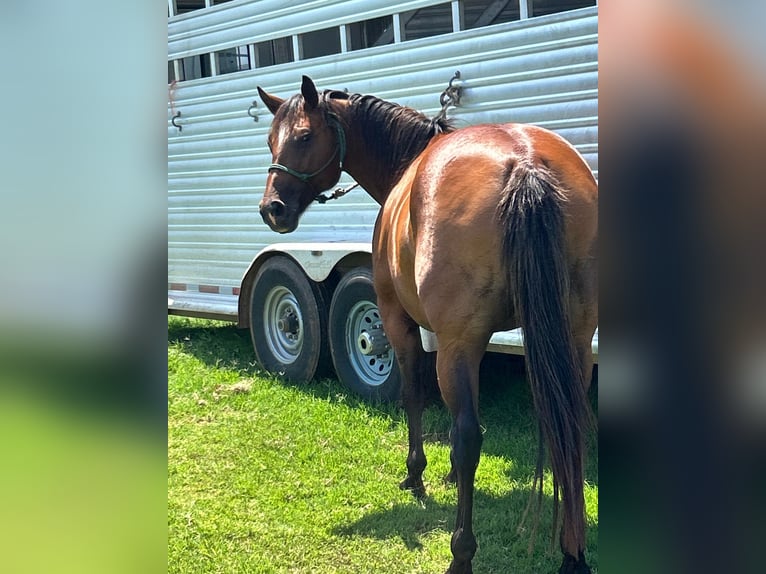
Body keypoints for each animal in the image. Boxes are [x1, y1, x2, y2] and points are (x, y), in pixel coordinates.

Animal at [256, 76, 597, 574]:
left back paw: (461, 554)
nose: (272, 209)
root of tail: (525, 162)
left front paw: (415, 474)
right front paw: (451, 476)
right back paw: (574, 555)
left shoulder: (400, 321)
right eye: (270, 140)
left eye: (302, 136)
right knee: (569, 430)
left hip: (461, 342)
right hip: (573, 341)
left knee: (468, 435)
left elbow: (414, 394)